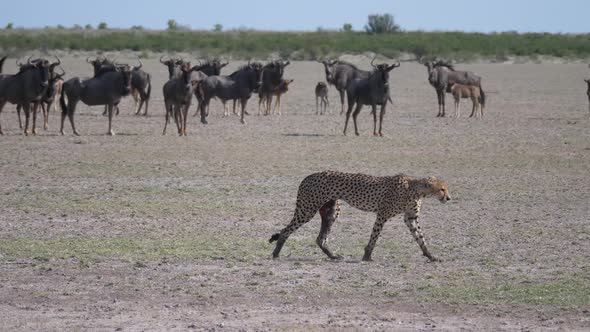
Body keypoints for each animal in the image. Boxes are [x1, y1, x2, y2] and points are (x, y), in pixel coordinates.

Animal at [270, 171, 454, 262]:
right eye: (442, 189)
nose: (449, 198)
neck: (417, 190)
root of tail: (307, 177)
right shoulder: (382, 215)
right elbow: (374, 237)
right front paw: (367, 256)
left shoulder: (411, 218)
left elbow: (421, 238)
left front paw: (431, 256)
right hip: (307, 209)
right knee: (286, 230)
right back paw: (276, 254)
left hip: (332, 211)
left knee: (320, 238)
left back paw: (333, 256)